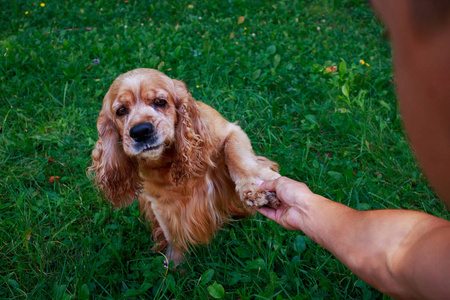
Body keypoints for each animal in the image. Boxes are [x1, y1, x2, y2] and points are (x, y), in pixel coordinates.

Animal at [89, 68, 280, 264]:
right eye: (121, 111)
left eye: (160, 102)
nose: (140, 131)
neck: (168, 161)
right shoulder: (160, 205)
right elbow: (173, 235)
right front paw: (174, 265)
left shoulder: (231, 131)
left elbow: (236, 155)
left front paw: (252, 188)